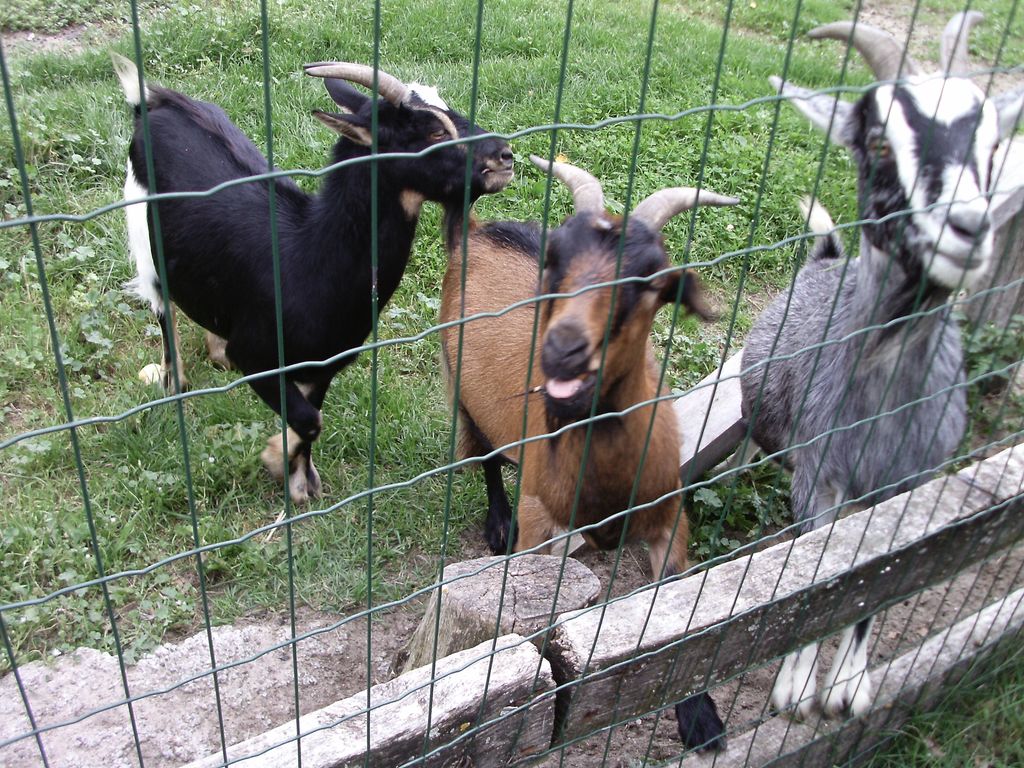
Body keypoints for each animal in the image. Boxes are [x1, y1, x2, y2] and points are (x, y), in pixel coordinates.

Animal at [114, 52, 512, 499]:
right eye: (432, 131)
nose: (505, 155)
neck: (309, 256)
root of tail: (153, 104)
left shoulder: (327, 359)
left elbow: (311, 415)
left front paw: (299, 477)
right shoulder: (256, 355)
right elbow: (309, 420)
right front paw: (276, 459)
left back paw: (216, 351)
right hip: (141, 227)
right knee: (161, 305)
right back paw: (173, 381)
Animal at [440, 156, 737, 753]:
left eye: (651, 276)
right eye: (556, 256)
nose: (564, 349)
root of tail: (474, 233)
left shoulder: (669, 514)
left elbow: (674, 607)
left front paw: (701, 719)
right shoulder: (541, 520)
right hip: (461, 389)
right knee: (485, 456)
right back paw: (496, 523)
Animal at [741, 10, 1019, 720]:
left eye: (993, 148)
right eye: (878, 142)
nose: (970, 228)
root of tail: (825, 256)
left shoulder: (908, 485)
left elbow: (872, 585)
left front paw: (846, 685)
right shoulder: (819, 476)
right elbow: (816, 574)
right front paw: (794, 689)